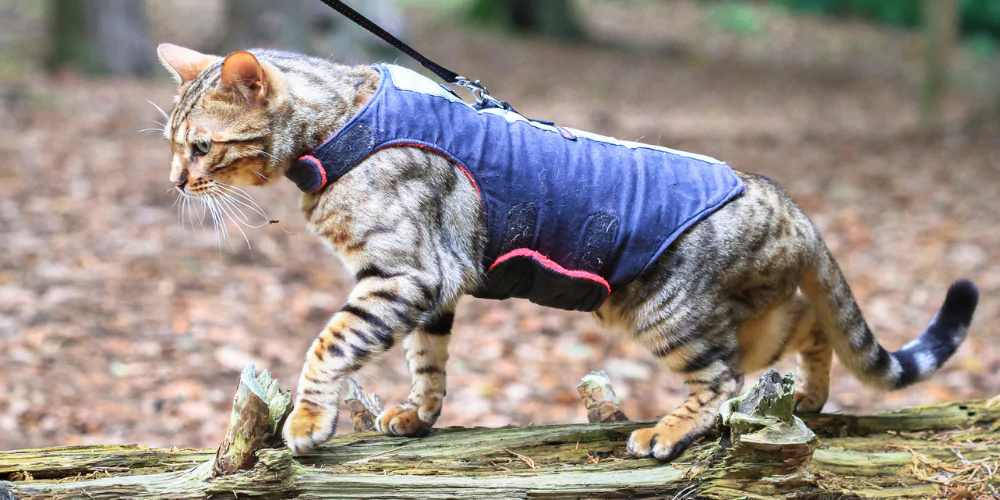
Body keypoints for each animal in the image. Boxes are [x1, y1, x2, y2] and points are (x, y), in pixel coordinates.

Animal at [154, 44, 976, 460]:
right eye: (171, 143)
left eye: (201, 147)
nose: (175, 182)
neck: (341, 128)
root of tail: (787, 200)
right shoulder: (436, 288)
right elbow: (428, 361)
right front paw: (417, 415)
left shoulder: (405, 273)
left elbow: (328, 344)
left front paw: (306, 423)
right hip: (751, 314)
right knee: (809, 325)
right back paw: (807, 395)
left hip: (664, 312)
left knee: (724, 381)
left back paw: (666, 431)